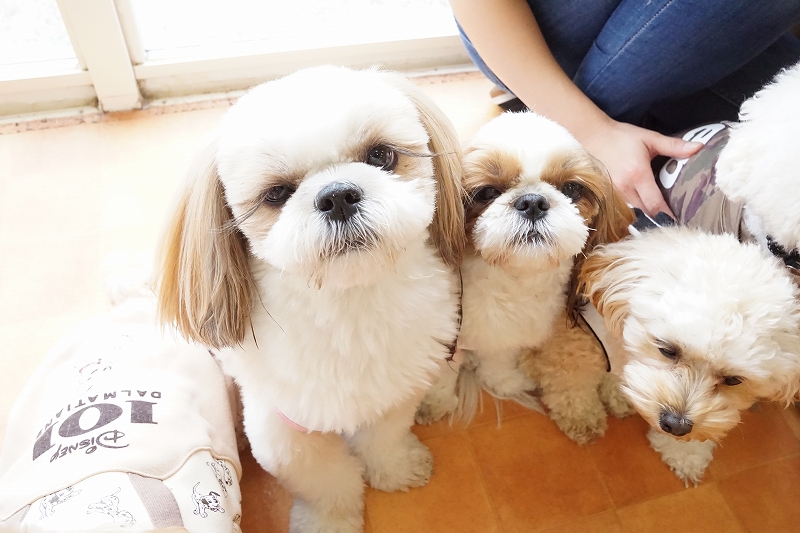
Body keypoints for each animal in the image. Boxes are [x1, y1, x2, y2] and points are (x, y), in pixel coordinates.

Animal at [156, 65, 464, 533]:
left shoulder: (394, 390)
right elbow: (324, 480)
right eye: (277, 193)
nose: (337, 195)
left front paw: (395, 468)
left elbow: (385, 436)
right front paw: (330, 521)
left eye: (381, 156)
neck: (349, 309)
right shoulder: (283, 429)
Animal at [416, 111, 633, 435]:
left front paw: (505, 382)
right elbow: (442, 372)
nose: (532, 201)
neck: (515, 281)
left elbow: (497, 361)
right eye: (487, 192)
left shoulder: (504, 334)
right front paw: (435, 402)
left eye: (571, 188)